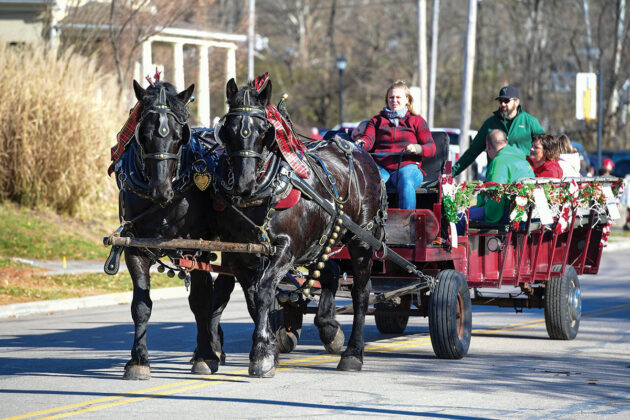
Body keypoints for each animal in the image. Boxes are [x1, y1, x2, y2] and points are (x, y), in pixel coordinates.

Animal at [114, 80, 232, 378]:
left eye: (180, 136)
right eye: (142, 135)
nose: (161, 191)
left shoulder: (197, 246)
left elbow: (200, 301)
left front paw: (205, 356)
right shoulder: (135, 245)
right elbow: (141, 305)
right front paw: (138, 360)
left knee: (222, 288)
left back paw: (213, 346)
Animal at [214, 79, 386, 378]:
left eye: (264, 130)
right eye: (228, 129)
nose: (244, 183)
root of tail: (360, 151)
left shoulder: (286, 249)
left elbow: (265, 289)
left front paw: (262, 353)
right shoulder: (240, 255)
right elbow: (253, 298)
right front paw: (270, 347)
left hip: (362, 241)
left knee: (361, 294)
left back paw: (353, 353)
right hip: (320, 241)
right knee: (330, 272)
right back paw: (329, 327)